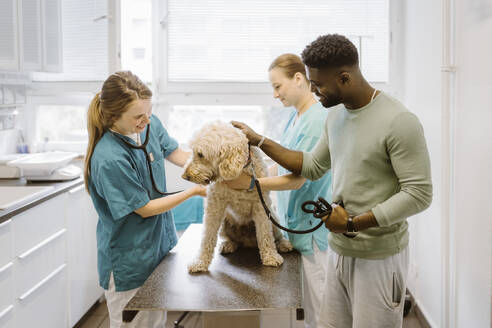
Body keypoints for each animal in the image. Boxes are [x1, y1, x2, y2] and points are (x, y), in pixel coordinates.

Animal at [184, 120, 292, 272]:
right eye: (193, 152)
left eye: (200, 154)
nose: (185, 176)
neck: (239, 171)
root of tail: (248, 241)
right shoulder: (214, 205)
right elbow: (207, 236)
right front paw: (200, 262)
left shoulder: (261, 205)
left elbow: (265, 234)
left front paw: (270, 256)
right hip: (225, 223)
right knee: (232, 239)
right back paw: (228, 244)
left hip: (273, 218)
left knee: (276, 236)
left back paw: (283, 244)